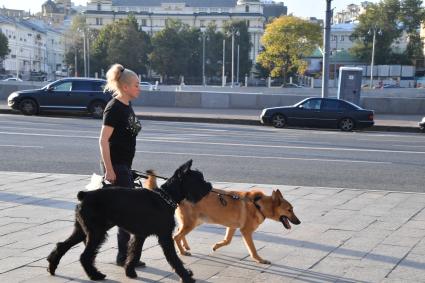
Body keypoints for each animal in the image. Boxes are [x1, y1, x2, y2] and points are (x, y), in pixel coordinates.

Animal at [46, 161, 212, 282]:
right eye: (198, 179)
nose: (210, 186)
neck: (166, 197)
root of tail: (85, 195)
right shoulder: (165, 236)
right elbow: (174, 258)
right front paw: (186, 276)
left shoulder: (140, 235)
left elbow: (134, 252)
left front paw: (130, 272)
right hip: (96, 233)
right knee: (85, 256)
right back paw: (95, 275)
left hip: (82, 230)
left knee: (62, 245)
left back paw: (52, 267)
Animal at [144, 173, 300, 266]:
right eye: (289, 210)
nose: (299, 222)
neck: (259, 204)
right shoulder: (246, 232)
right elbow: (253, 249)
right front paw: (259, 260)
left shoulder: (232, 227)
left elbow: (227, 241)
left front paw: (216, 246)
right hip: (192, 223)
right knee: (176, 235)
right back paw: (183, 252)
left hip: (194, 222)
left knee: (179, 232)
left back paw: (185, 246)